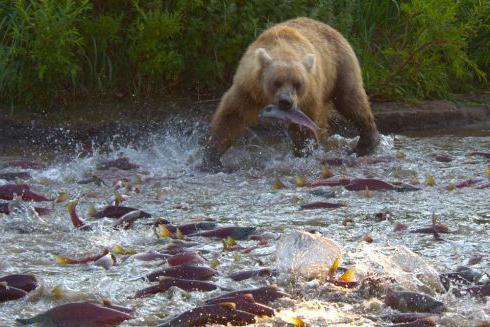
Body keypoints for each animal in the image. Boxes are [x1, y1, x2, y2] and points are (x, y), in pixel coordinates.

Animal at [201, 17, 380, 172]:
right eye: (276, 82)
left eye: (298, 84)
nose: (285, 102)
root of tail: (332, 29)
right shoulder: (248, 89)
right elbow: (231, 117)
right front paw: (212, 159)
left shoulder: (308, 97)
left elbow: (305, 126)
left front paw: (304, 152)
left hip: (340, 66)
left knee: (350, 100)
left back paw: (365, 144)